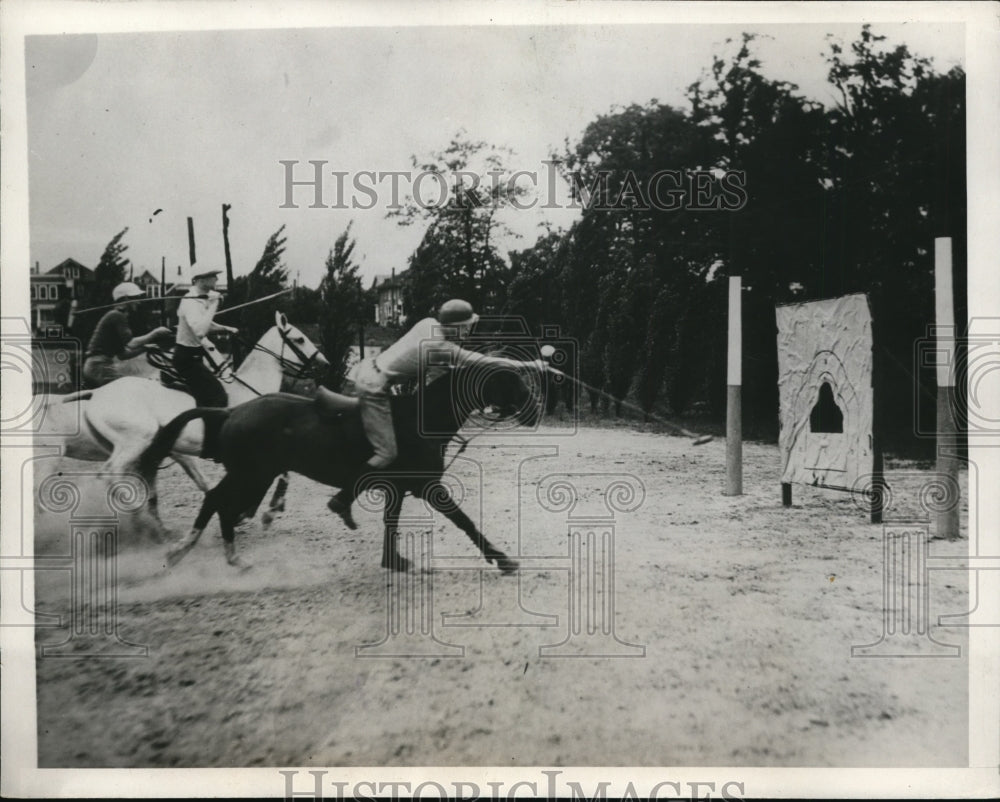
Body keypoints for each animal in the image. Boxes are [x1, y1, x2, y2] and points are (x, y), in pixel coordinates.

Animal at [36, 310, 328, 536]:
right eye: (299, 338)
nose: (324, 364)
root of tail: (96, 394)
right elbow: (273, 476)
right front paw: (257, 512)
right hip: (127, 443)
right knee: (108, 474)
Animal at [138, 362, 544, 568]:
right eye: (511, 381)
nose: (536, 411)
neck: (420, 418)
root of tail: (231, 411)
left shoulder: (398, 489)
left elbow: (392, 524)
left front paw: (392, 560)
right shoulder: (427, 486)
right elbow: (463, 519)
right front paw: (501, 558)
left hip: (254, 474)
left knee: (221, 503)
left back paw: (218, 553)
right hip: (251, 473)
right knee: (217, 501)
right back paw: (192, 550)